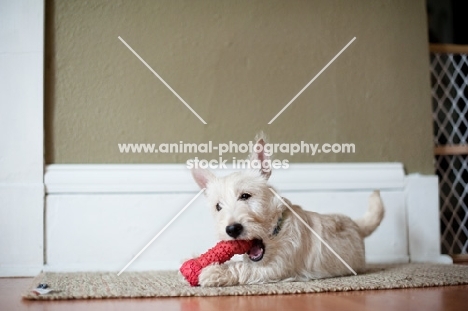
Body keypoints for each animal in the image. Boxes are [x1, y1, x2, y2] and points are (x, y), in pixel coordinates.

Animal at [190, 137, 384, 288]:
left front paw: (212, 272)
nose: (232, 229)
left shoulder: (277, 267)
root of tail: (357, 225)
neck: (277, 232)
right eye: (218, 207)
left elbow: (243, 268)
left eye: (245, 196)